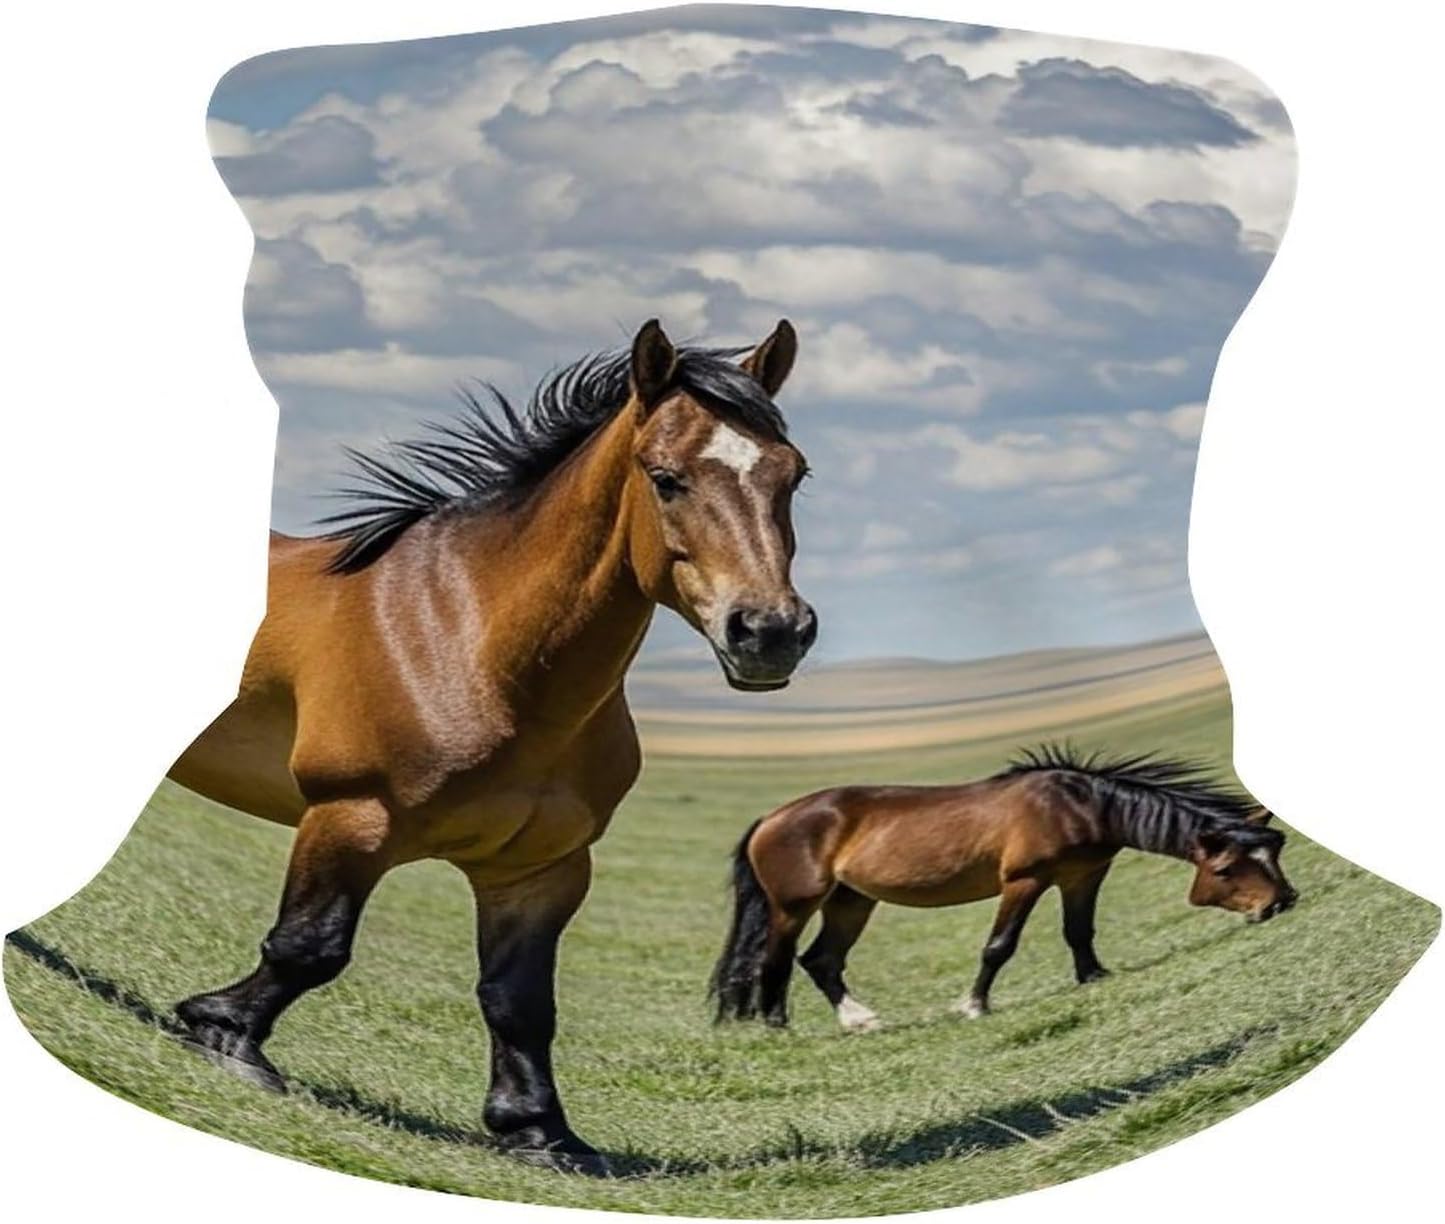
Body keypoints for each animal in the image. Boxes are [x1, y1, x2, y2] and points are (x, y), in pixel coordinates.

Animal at [167, 318, 815, 1173]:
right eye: (665, 478)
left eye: (793, 476)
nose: (770, 633)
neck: (471, 640)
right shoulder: (352, 817)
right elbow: (310, 946)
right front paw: (221, 1030)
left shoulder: (538, 870)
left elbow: (519, 999)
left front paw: (538, 1130)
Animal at [710, 744, 1297, 1031]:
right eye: (1227, 870)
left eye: (1275, 851)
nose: (1281, 903)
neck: (1079, 805)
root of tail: (770, 819)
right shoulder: (1025, 880)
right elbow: (999, 946)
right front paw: (973, 1006)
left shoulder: (1083, 875)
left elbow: (1079, 932)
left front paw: (1094, 977)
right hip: (794, 905)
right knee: (776, 961)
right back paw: (778, 1024)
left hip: (853, 900)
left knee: (821, 961)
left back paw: (860, 1019)